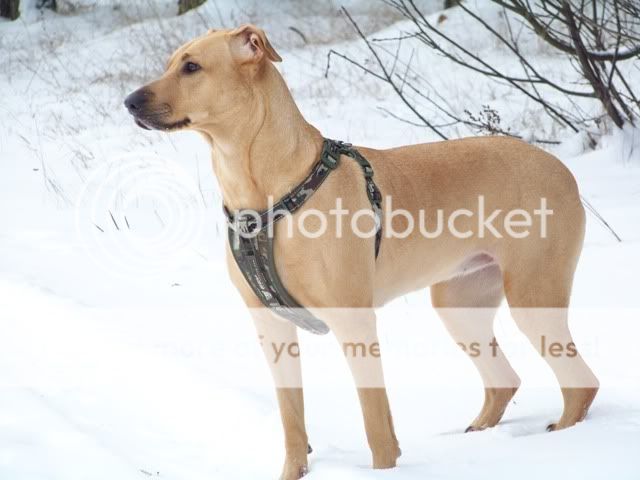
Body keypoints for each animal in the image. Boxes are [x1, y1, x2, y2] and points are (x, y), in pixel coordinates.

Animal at [125, 25, 599, 479]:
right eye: (171, 63)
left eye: (192, 67)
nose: (128, 102)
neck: (268, 190)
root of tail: (562, 168)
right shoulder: (271, 326)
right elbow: (291, 421)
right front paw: (293, 471)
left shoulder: (354, 322)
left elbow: (376, 424)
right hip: (460, 303)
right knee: (504, 380)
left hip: (534, 296)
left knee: (581, 382)